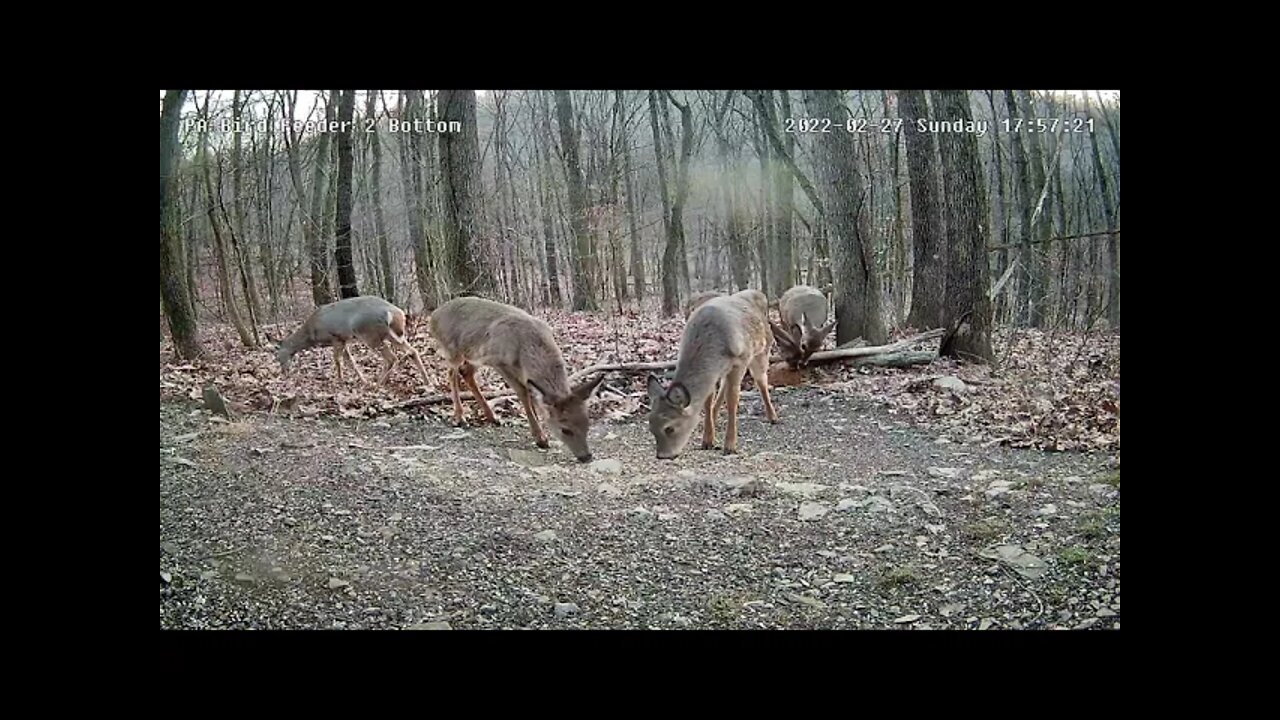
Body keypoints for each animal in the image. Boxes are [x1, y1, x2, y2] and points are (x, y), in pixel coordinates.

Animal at [270, 294, 430, 386]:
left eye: (278, 356)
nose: (284, 372)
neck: (311, 332)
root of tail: (395, 312)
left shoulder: (335, 336)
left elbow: (338, 360)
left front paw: (340, 380)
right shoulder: (344, 339)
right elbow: (350, 361)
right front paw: (362, 380)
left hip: (370, 334)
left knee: (392, 358)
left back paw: (379, 383)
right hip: (393, 335)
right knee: (412, 351)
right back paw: (427, 381)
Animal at [430, 294, 604, 461]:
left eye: (587, 424)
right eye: (565, 429)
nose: (586, 457)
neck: (526, 348)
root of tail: (433, 316)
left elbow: (532, 394)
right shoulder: (499, 361)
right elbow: (523, 392)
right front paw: (541, 438)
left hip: (474, 356)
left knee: (465, 372)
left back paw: (492, 417)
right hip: (453, 350)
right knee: (452, 372)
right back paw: (460, 417)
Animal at [645, 284, 773, 453]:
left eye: (669, 428)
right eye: (651, 427)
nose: (662, 455)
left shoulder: (741, 360)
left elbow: (732, 399)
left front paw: (730, 445)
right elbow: (707, 399)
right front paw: (707, 440)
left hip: (762, 350)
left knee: (761, 380)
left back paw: (773, 416)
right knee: (723, 385)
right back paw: (714, 413)